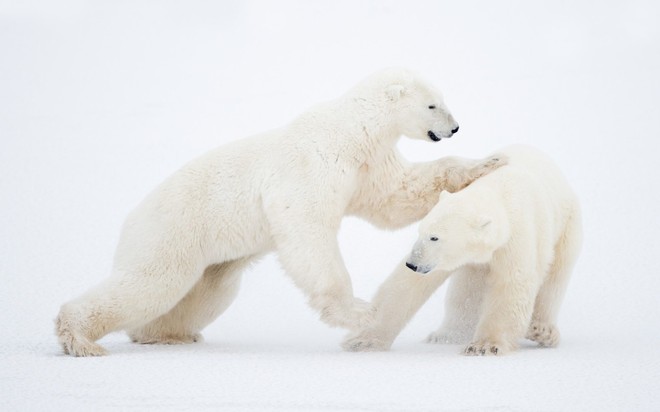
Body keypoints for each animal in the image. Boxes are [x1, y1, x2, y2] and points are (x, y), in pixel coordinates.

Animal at [55, 68, 506, 358]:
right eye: (433, 105)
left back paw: (166, 334)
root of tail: (131, 217)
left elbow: (397, 197)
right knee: (151, 283)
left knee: (204, 292)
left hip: (212, 259)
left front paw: (487, 162)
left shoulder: (367, 165)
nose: (455, 127)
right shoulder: (314, 162)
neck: (352, 129)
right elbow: (307, 227)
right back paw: (79, 338)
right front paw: (361, 312)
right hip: (172, 231)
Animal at [346, 145, 584, 354]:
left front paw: (484, 346)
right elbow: (407, 286)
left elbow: (512, 284)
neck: (498, 191)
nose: (412, 264)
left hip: (566, 226)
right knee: (465, 291)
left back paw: (543, 331)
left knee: (554, 282)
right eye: (420, 231)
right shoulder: (445, 258)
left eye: (435, 237)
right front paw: (363, 340)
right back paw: (445, 335)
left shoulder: (516, 236)